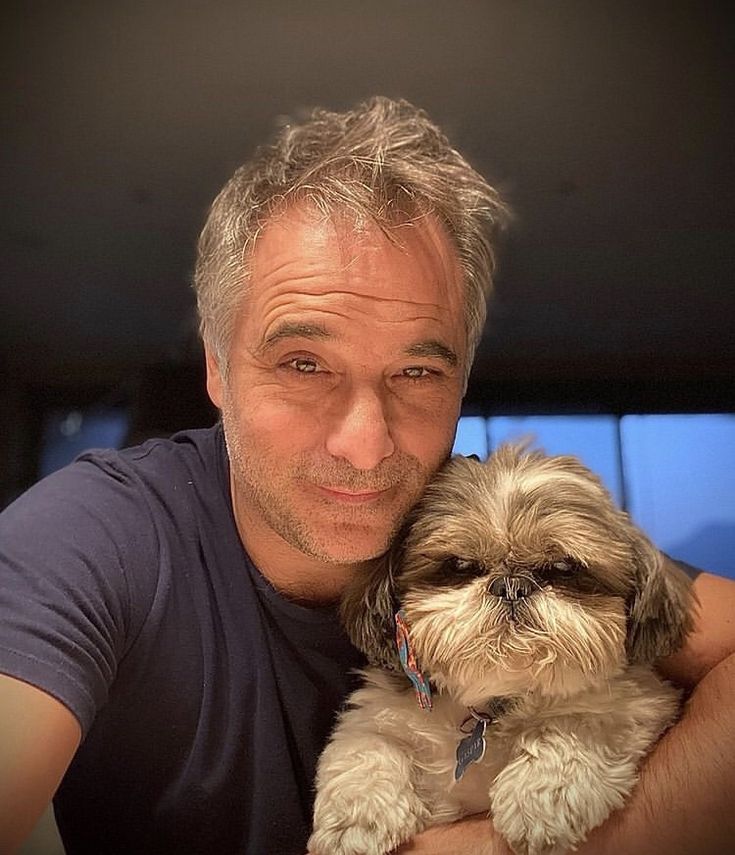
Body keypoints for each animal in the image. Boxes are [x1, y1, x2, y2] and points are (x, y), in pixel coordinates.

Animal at [310, 444, 696, 855]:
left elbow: (575, 724)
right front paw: (355, 820)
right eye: (461, 565)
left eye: (563, 567)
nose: (511, 585)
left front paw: (538, 798)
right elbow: (366, 746)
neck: (496, 699)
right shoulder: (377, 715)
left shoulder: (637, 705)